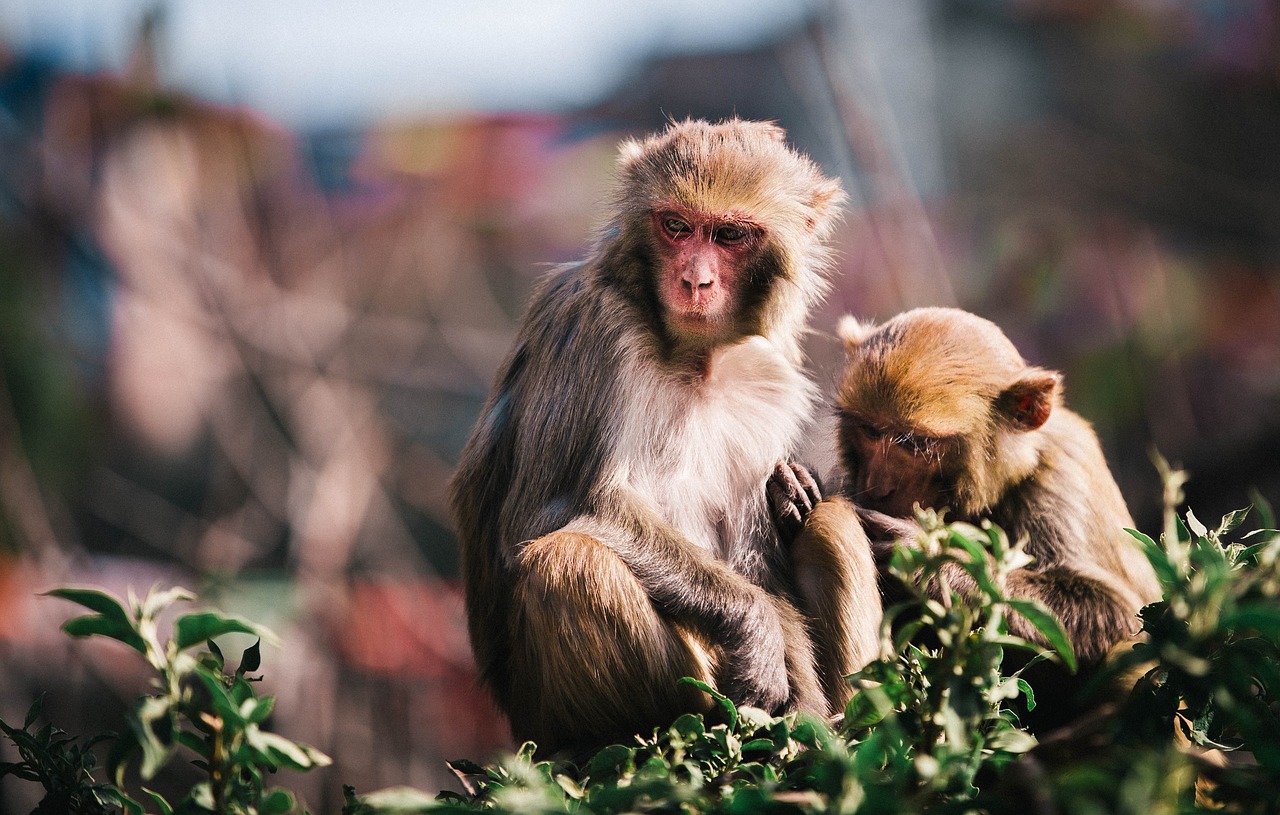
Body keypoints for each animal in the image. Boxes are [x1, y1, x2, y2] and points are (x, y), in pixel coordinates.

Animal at [448, 117, 880, 752]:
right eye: (676, 227)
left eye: (729, 235)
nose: (694, 280)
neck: (695, 359)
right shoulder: (595, 326)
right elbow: (549, 512)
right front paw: (754, 625)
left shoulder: (767, 377)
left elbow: (757, 558)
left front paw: (804, 715)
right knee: (572, 561)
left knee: (831, 520)